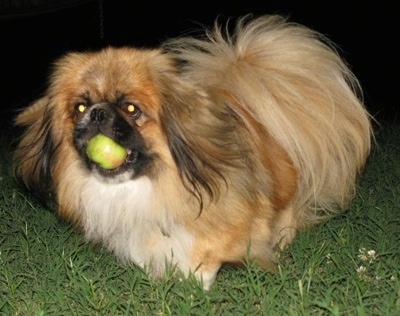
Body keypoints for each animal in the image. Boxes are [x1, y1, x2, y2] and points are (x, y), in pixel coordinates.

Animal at [13, 14, 372, 288]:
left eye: (130, 109)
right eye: (80, 107)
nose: (98, 113)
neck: (153, 185)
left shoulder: (233, 223)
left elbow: (209, 253)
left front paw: (195, 285)